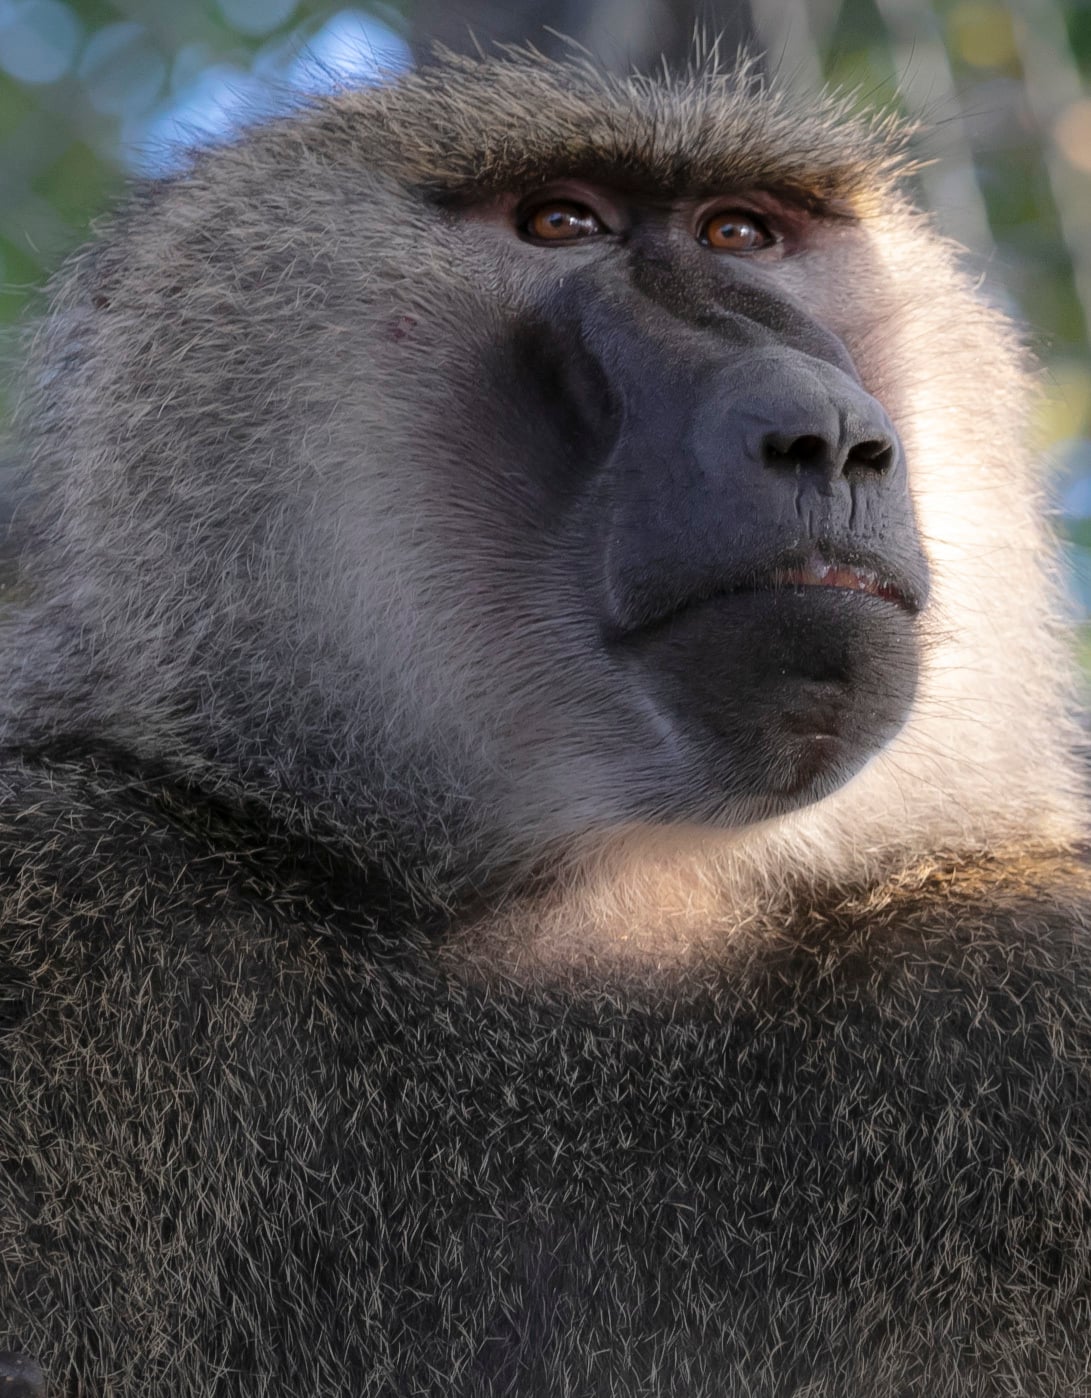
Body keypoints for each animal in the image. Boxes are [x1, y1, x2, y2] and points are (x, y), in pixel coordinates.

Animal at [0, 44, 1089, 1397]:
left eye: (742, 232)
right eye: (560, 223)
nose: (829, 434)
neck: (618, 913)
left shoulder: (1032, 965)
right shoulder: (78, 898)